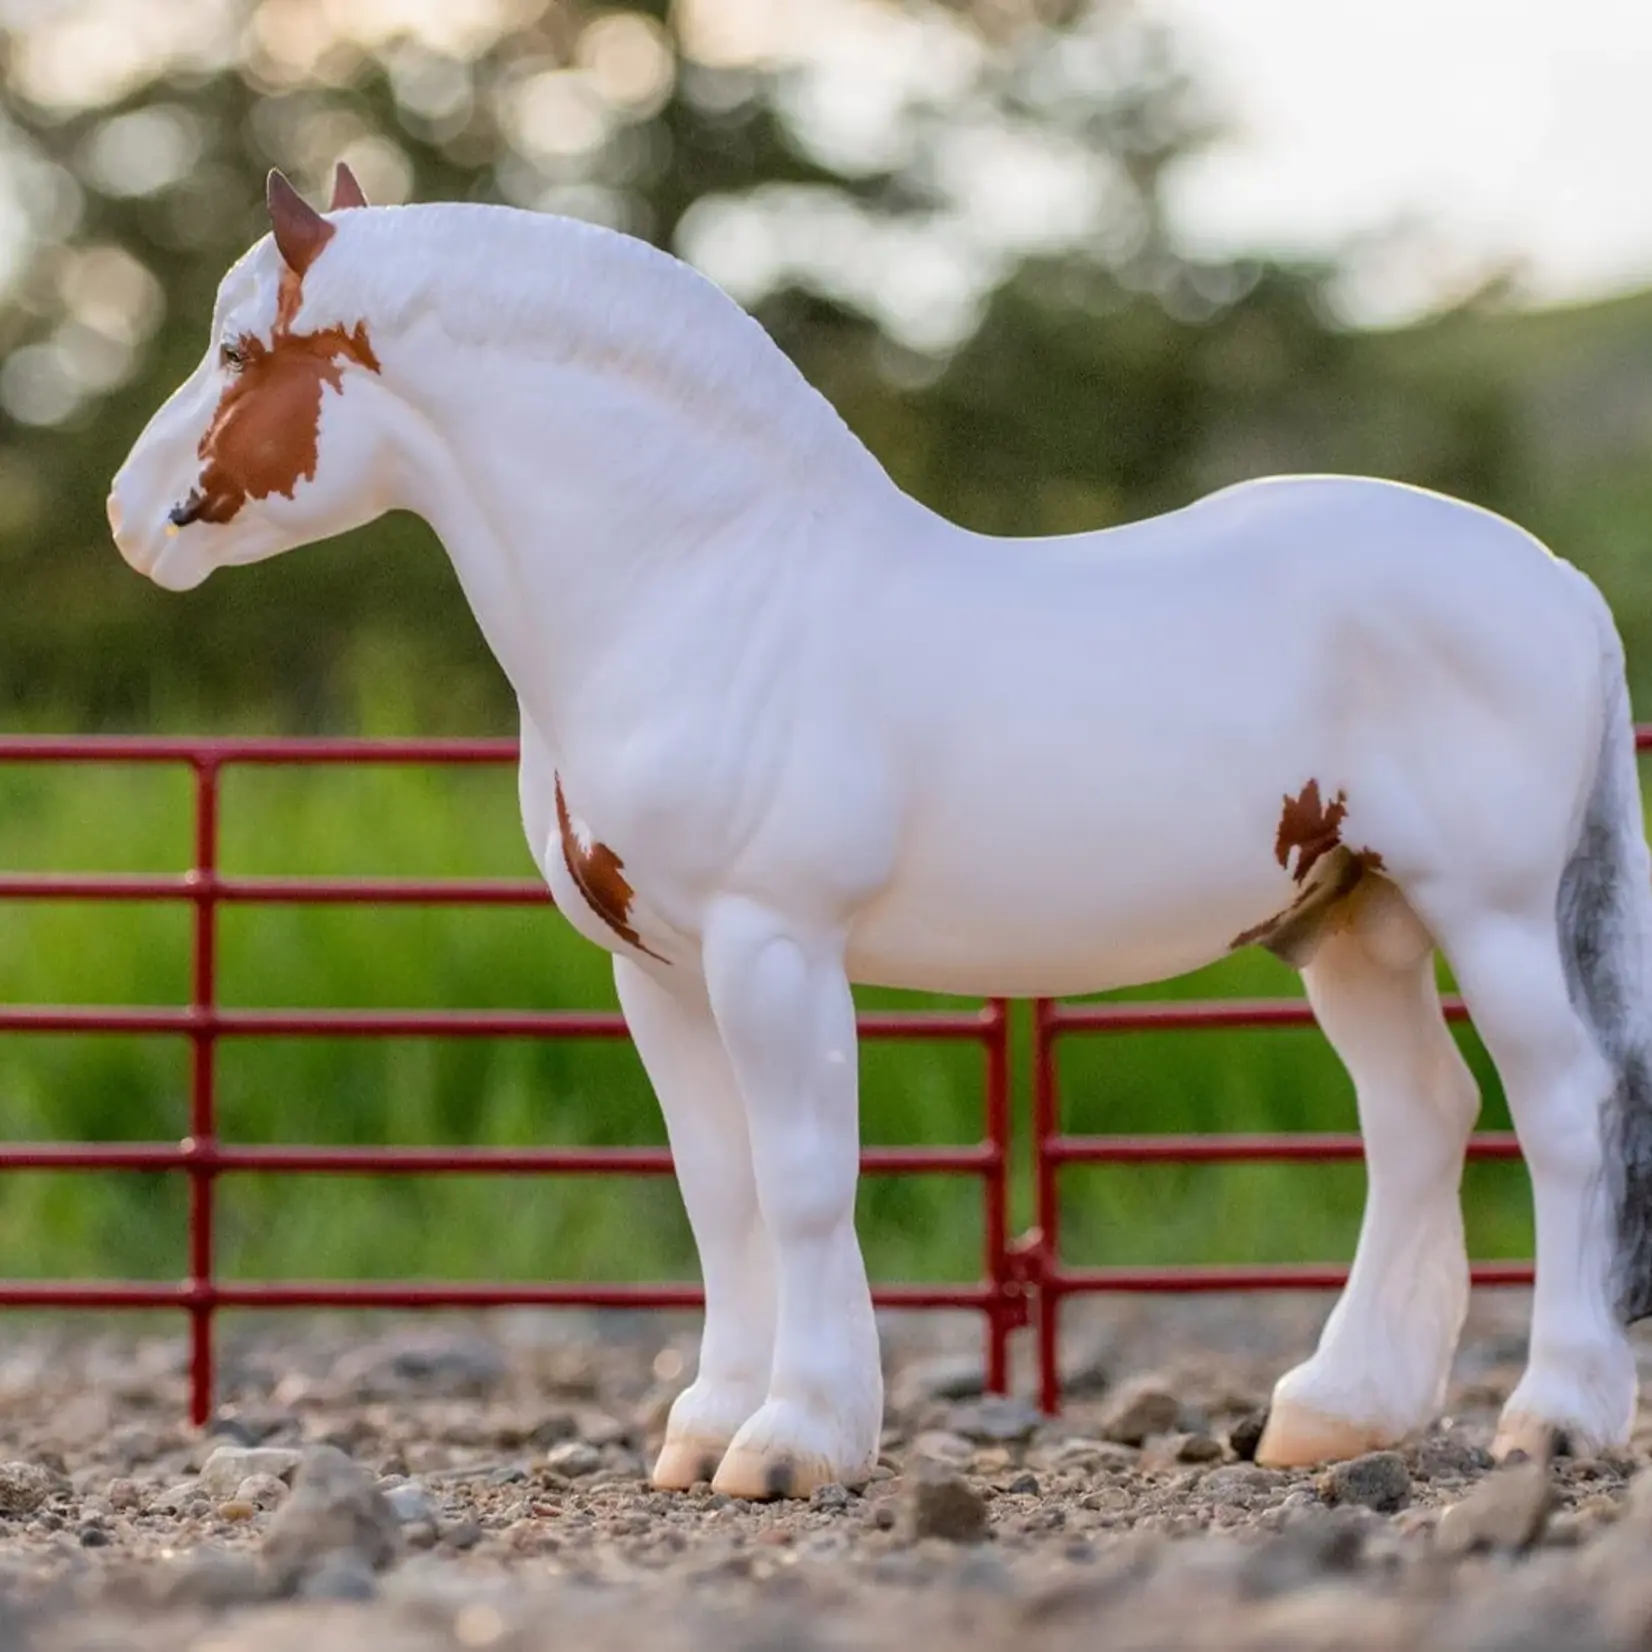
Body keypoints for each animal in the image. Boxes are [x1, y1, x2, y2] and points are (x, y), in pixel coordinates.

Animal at [108, 165, 1652, 1497]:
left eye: (238, 351)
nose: (134, 520)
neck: (705, 586)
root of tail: (1559, 580)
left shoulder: (772, 946)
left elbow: (800, 1182)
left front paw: (795, 1441)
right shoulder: (654, 972)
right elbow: (718, 1192)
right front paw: (703, 1430)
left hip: (1487, 910)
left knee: (1561, 1112)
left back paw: (1555, 1418)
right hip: (1349, 918)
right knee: (1418, 1115)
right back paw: (1333, 1414)